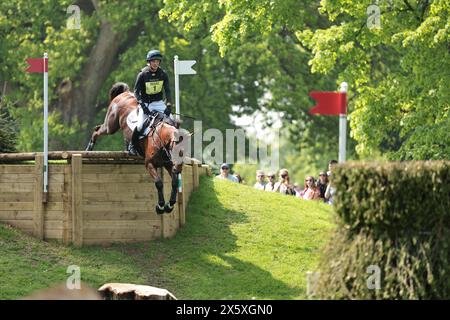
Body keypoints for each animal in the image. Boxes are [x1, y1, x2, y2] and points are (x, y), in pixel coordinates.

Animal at [85, 81, 187, 214]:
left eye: (185, 153)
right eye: (176, 151)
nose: (178, 170)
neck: (160, 139)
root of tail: (124, 93)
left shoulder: (168, 164)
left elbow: (174, 182)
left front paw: (170, 205)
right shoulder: (149, 164)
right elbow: (159, 183)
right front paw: (160, 206)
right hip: (111, 126)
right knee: (97, 129)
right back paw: (89, 148)